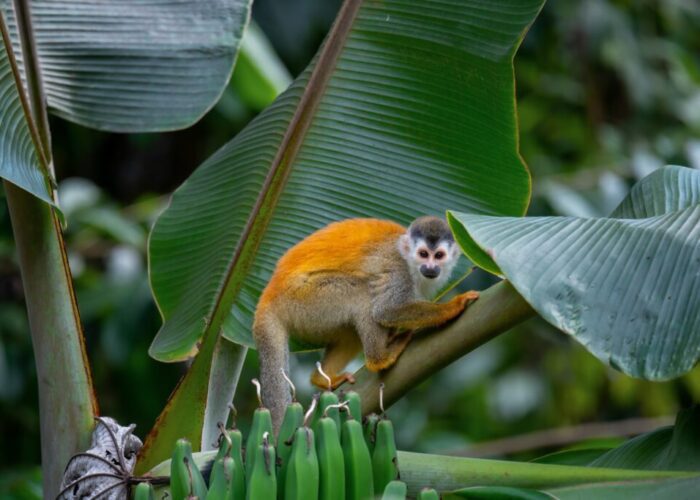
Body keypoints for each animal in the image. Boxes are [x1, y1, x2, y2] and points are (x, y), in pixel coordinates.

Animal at [253, 216, 479, 431]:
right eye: (423, 254)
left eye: (438, 256)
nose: (430, 267)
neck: (409, 260)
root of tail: (269, 296)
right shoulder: (398, 270)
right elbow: (385, 310)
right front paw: (453, 306)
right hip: (303, 299)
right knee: (363, 293)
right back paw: (380, 359)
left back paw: (322, 378)